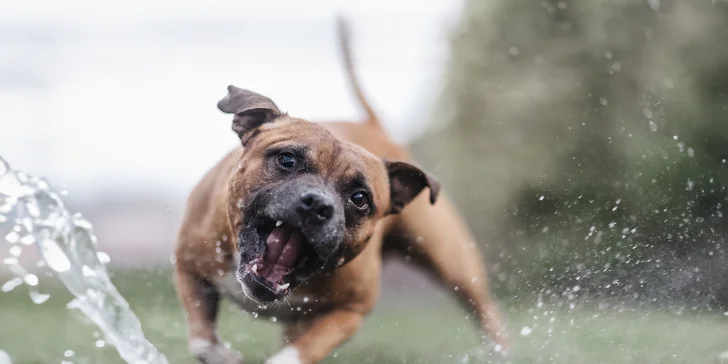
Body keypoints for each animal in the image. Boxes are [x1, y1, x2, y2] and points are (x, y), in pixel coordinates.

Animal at [173, 15, 510, 362]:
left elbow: (297, 352)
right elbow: (201, 338)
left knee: (486, 309)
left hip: (453, 262)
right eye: (287, 159)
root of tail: (374, 128)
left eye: (359, 198)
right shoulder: (188, 268)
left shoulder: (349, 312)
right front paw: (221, 355)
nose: (317, 204)